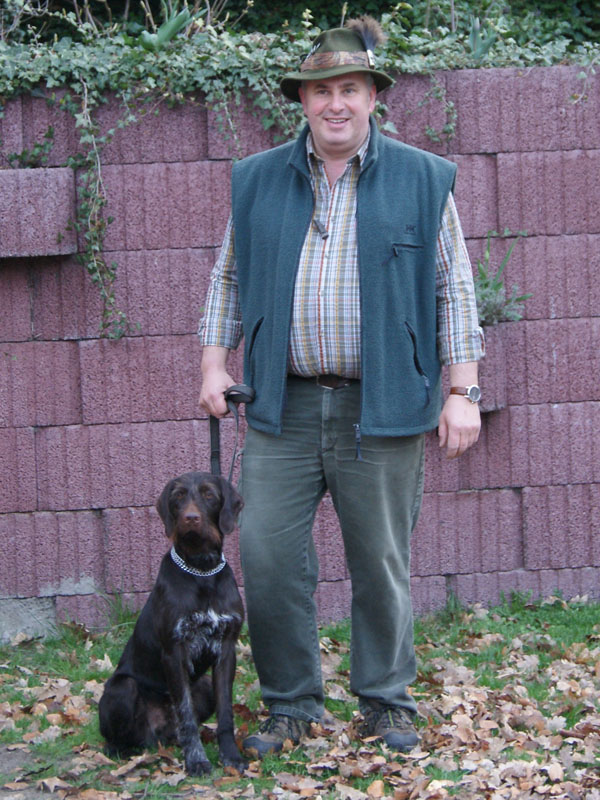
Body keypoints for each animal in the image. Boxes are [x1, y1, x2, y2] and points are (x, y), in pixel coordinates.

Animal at [99, 471, 247, 775]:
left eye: (209, 494)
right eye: (178, 496)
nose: (190, 518)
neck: (201, 570)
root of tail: (155, 736)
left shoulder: (226, 649)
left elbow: (225, 712)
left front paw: (230, 754)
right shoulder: (174, 652)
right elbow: (186, 714)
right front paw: (197, 760)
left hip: (204, 685)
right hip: (123, 688)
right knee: (120, 738)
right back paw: (122, 751)